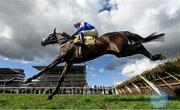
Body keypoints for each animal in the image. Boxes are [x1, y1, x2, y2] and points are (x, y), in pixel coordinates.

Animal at [23, 28, 166, 99]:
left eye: (49, 35)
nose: (42, 41)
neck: (66, 42)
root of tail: (122, 32)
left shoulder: (61, 58)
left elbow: (46, 68)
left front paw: (28, 80)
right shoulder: (69, 62)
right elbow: (61, 78)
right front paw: (51, 95)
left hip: (122, 50)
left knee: (139, 45)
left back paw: (155, 56)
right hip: (120, 52)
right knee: (139, 45)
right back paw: (156, 57)